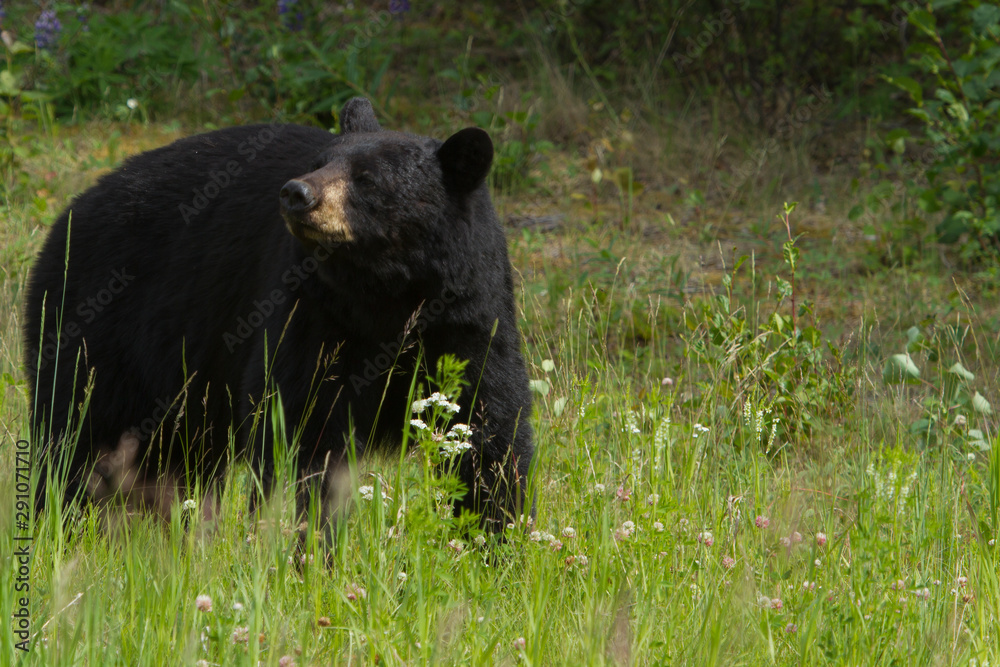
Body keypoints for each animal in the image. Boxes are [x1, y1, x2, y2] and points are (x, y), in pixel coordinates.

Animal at [23, 95, 536, 532]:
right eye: (318, 163)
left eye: (368, 179)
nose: (297, 193)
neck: (385, 294)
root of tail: (69, 214)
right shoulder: (312, 313)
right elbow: (302, 423)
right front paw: (309, 540)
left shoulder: (468, 315)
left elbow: (491, 426)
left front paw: (494, 537)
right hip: (100, 325)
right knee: (77, 430)